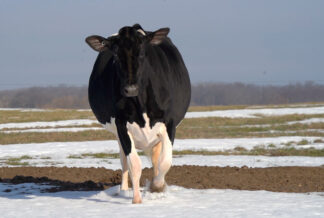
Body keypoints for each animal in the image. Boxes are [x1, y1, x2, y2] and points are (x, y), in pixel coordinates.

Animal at [85, 23, 191, 203]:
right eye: (115, 54)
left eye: (142, 52)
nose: (130, 89)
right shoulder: (121, 124)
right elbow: (134, 163)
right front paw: (136, 200)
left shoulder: (169, 123)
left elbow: (165, 162)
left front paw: (156, 187)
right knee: (124, 161)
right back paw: (123, 190)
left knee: (156, 159)